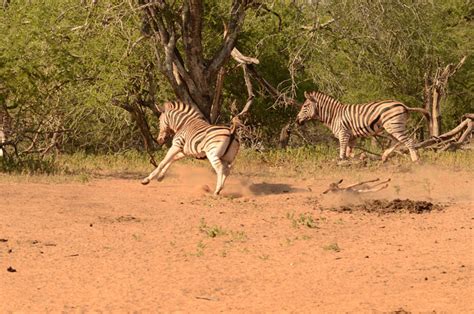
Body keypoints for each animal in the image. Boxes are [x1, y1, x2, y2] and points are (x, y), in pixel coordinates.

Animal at [298, 91, 432, 162]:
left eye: (305, 106)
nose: (297, 120)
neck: (334, 115)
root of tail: (404, 105)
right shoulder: (351, 136)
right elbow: (349, 151)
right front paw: (354, 160)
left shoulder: (343, 133)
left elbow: (342, 150)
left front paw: (341, 161)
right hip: (391, 127)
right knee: (396, 141)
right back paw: (384, 156)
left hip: (394, 126)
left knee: (409, 140)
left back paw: (415, 160)